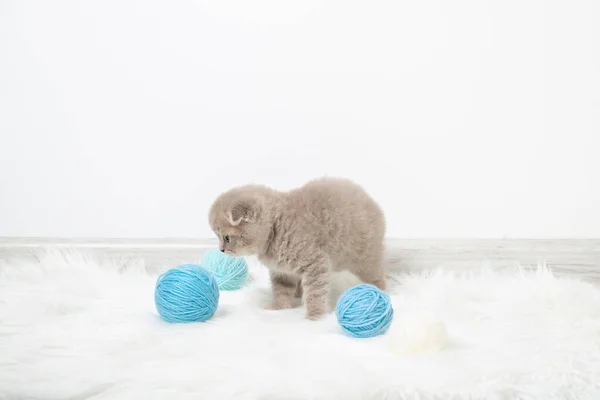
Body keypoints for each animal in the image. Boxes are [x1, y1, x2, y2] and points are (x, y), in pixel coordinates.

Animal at [209, 178, 386, 322]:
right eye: (217, 236)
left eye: (226, 237)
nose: (221, 250)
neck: (275, 228)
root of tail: (369, 198)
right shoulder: (282, 272)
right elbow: (281, 290)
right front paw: (278, 307)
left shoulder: (316, 264)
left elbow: (315, 293)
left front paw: (314, 317)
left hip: (364, 258)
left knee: (377, 277)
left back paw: (379, 292)